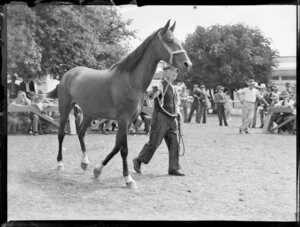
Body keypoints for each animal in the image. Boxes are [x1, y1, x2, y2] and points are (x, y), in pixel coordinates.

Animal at [47, 20, 192, 189]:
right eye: (169, 40)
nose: (187, 64)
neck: (131, 80)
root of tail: (67, 75)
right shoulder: (123, 120)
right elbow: (124, 149)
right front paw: (128, 179)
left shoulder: (128, 121)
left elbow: (117, 146)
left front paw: (97, 170)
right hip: (65, 108)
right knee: (61, 134)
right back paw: (60, 163)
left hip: (89, 112)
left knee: (81, 132)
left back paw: (85, 163)